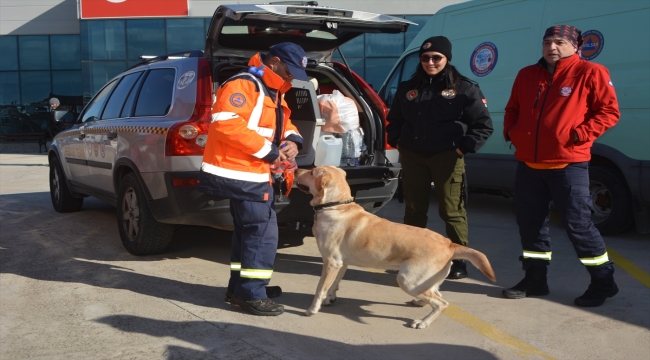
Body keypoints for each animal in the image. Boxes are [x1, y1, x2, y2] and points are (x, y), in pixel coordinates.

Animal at [296, 166, 494, 330]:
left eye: (312, 172)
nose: (297, 168)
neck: (336, 206)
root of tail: (449, 243)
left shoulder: (331, 263)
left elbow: (320, 288)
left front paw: (313, 309)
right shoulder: (342, 263)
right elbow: (334, 284)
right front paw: (330, 298)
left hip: (408, 280)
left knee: (442, 303)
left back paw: (422, 322)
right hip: (423, 281)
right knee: (436, 294)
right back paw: (421, 304)